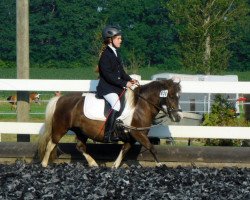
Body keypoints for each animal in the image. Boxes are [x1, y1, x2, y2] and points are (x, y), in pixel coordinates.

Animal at [37, 79, 182, 168]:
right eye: (171, 96)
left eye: (179, 96)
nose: (178, 117)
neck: (140, 106)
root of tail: (60, 98)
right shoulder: (138, 134)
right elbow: (151, 147)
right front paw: (160, 165)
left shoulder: (131, 137)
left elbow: (124, 150)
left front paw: (114, 166)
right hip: (61, 127)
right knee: (51, 144)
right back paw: (44, 164)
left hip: (81, 131)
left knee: (80, 147)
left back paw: (94, 164)